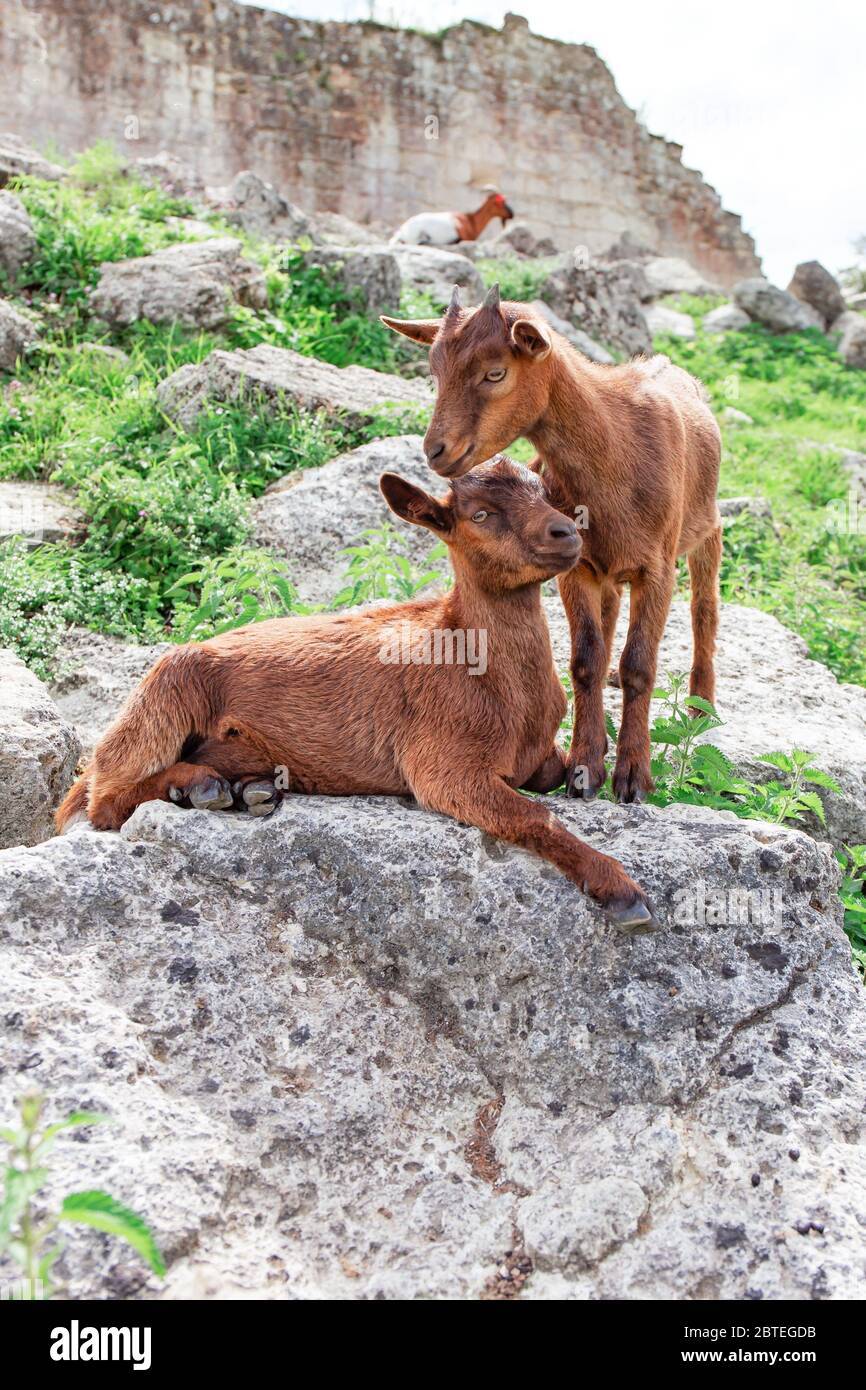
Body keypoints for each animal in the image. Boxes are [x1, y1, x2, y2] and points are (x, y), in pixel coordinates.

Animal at [57, 458, 656, 934]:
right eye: (481, 514)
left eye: (543, 490)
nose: (567, 533)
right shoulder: (442, 761)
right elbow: (535, 817)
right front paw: (621, 891)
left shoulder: (534, 756)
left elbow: (554, 781)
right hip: (166, 690)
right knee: (102, 800)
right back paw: (199, 786)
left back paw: (249, 787)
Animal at [383, 282, 722, 806]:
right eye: (435, 371)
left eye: (495, 372)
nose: (436, 451)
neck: (618, 453)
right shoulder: (575, 564)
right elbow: (584, 659)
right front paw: (584, 768)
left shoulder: (657, 567)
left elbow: (640, 664)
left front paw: (633, 777)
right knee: (609, 613)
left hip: (707, 524)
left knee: (704, 606)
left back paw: (701, 705)